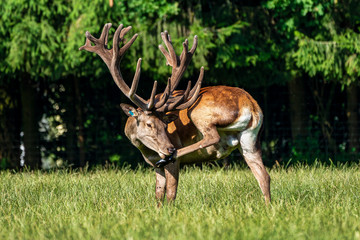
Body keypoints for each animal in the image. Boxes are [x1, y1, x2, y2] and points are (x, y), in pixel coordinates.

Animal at [79, 23, 270, 206]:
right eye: (149, 124)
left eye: (165, 126)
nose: (169, 148)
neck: (146, 150)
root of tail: (252, 106)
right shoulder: (153, 165)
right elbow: (158, 194)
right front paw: (158, 210)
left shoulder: (171, 160)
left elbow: (171, 193)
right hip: (249, 140)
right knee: (263, 175)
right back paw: (268, 207)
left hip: (199, 113)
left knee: (211, 136)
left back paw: (176, 154)